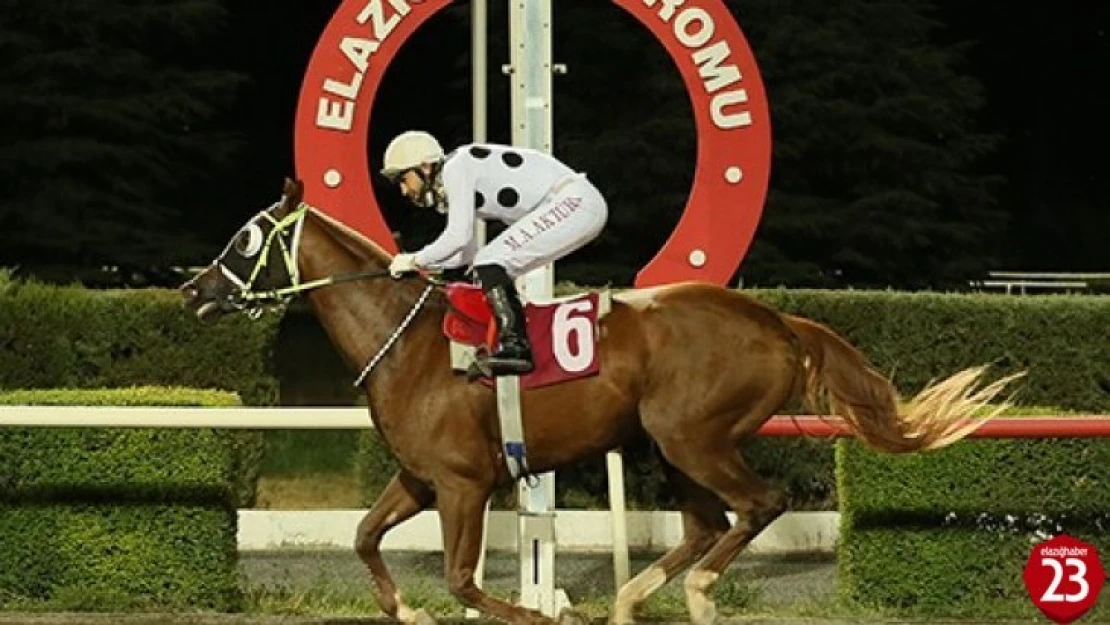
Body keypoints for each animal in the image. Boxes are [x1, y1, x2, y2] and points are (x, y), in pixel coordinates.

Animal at [182, 178, 1021, 621]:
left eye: (246, 238)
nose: (193, 290)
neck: (408, 340)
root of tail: (777, 320)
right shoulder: (421, 477)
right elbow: (362, 536)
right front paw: (408, 607)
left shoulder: (463, 483)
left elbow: (463, 579)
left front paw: (537, 608)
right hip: (668, 443)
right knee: (707, 523)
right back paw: (636, 595)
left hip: (692, 436)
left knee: (759, 504)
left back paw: (697, 589)